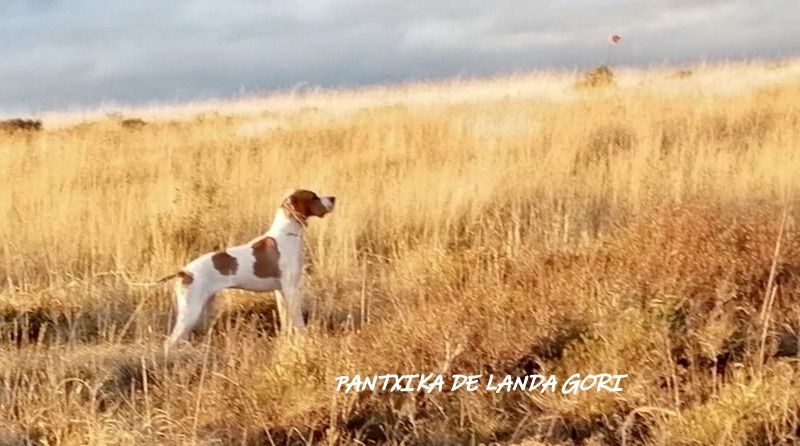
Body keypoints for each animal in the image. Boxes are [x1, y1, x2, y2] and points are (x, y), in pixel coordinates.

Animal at [159, 187, 334, 348]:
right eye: (314, 197)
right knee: (169, 342)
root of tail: (184, 272)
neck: (286, 234)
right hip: (190, 312)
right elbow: (298, 322)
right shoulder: (291, 289)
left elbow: (286, 321)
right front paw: (304, 339)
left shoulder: (281, 291)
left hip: (202, 308)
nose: (333, 198)